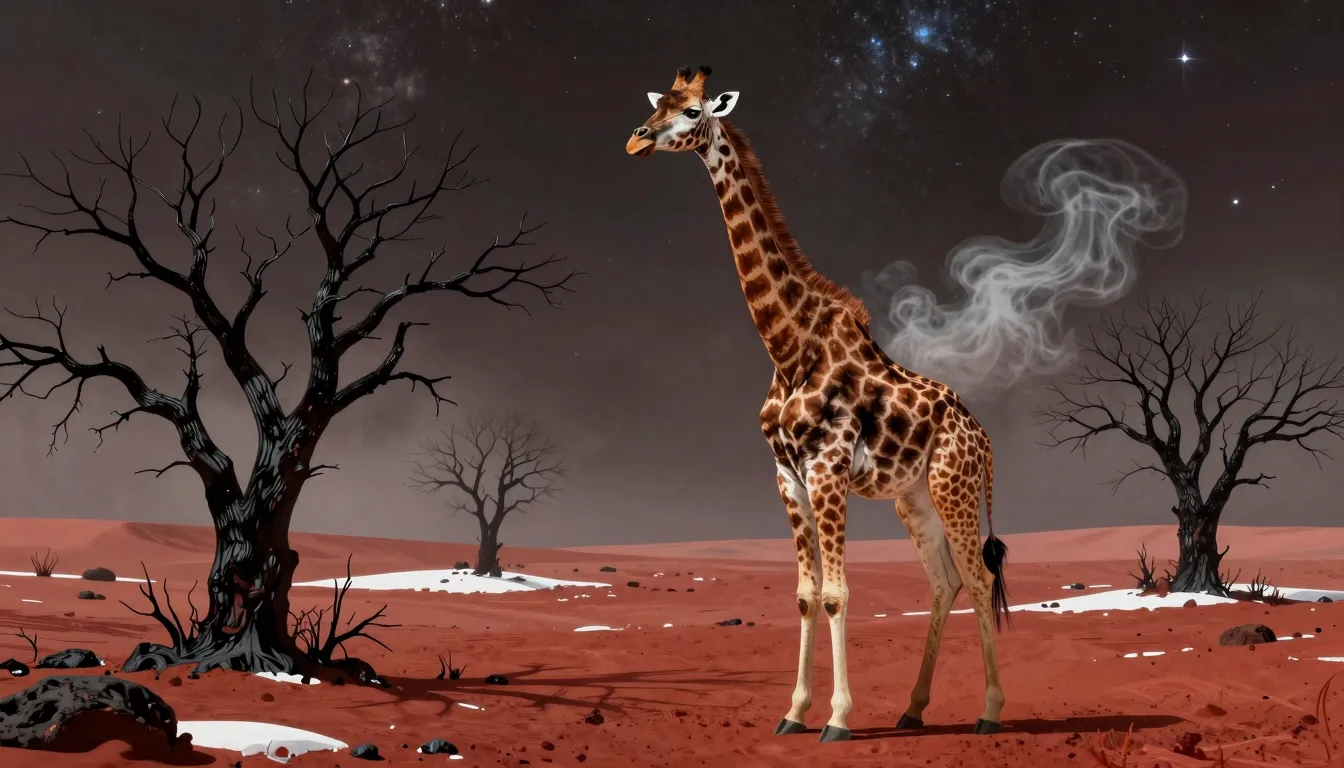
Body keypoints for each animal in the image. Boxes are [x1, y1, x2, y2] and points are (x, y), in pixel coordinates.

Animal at [625, 66, 1012, 742]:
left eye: (693, 109)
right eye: (659, 102)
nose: (637, 139)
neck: (787, 344)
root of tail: (983, 440)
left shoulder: (827, 468)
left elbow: (837, 594)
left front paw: (837, 718)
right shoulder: (787, 475)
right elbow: (806, 595)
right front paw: (794, 713)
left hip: (953, 487)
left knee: (979, 574)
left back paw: (989, 712)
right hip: (913, 497)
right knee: (944, 581)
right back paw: (913, 708)